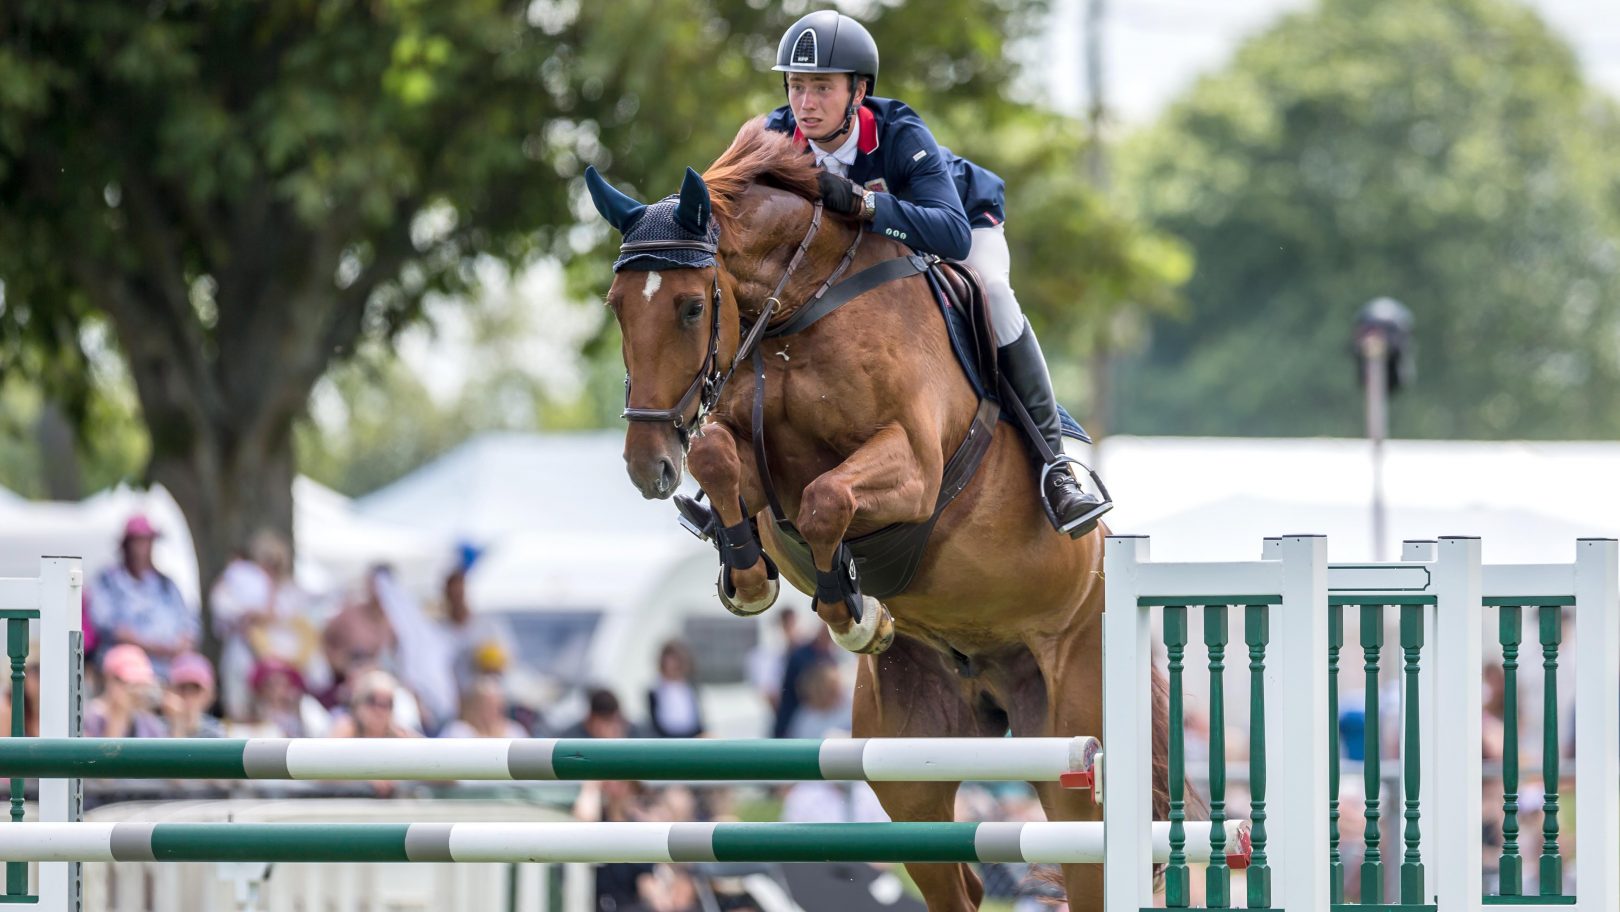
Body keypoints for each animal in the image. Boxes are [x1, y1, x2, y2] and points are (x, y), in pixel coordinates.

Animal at [587, 118, 1170, 911]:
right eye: (617, 306)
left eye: (691, 307)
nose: (648, 467)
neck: (798, 310)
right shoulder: (754, 454)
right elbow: (720, 457)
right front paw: (750, 576)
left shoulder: (914, 466)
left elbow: (828, 498)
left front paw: (852, 613)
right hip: (909, 764)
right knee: (956, 879)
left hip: (1077, 754)